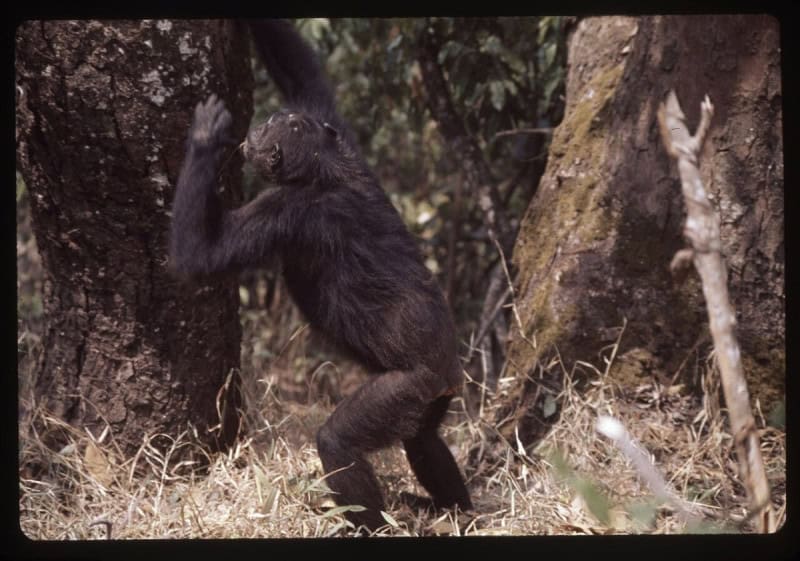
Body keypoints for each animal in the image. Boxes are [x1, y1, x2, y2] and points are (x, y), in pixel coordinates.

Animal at [169, 19, 472, 531]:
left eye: (270, 124)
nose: (259, 124)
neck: (324, 169)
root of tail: (449, 371)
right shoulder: (340, 134)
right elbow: (303, 74)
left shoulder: (283, 212)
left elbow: (199, 256)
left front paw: (206, 138)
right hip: (436, 394)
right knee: (424, 440)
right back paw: (456, 509)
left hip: (408, 387)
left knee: (339, 441)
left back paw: (367, 524)